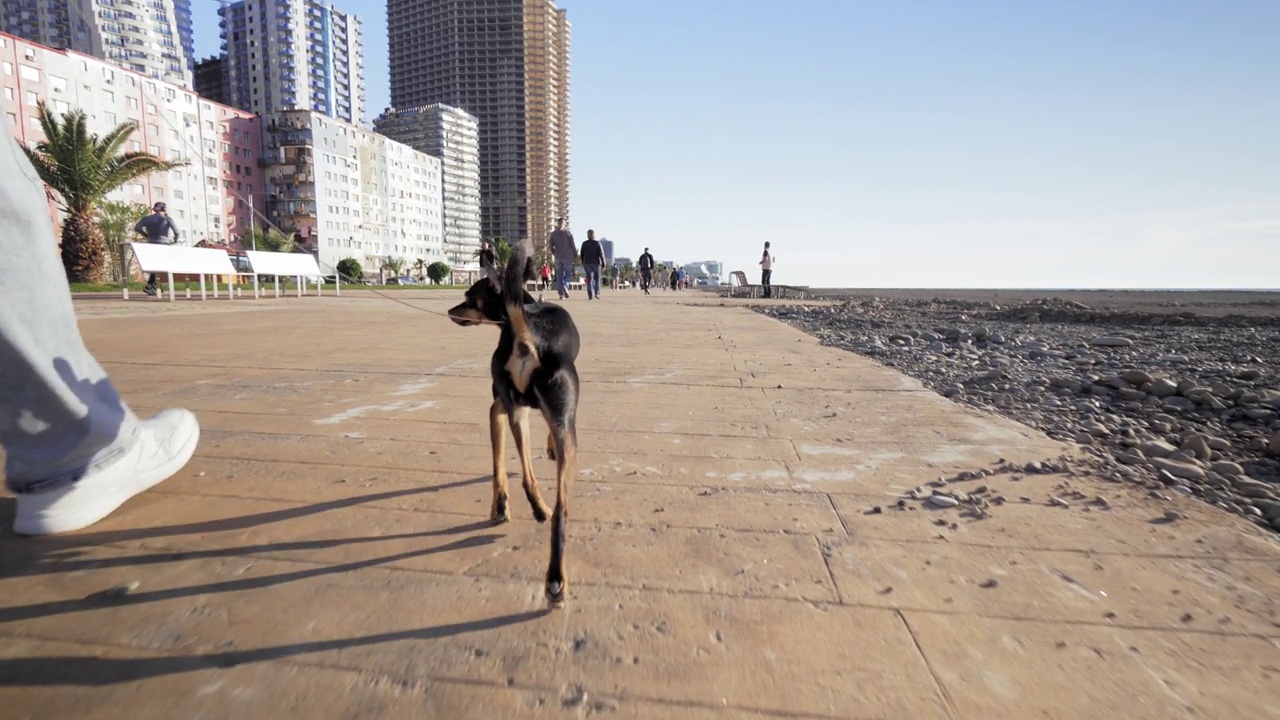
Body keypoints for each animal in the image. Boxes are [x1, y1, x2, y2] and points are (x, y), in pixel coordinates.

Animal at [442, 238, 578, 602]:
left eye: (469, 298)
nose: (450, 311)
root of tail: (525, 335)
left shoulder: (501, 409)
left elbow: (498, 467)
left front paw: (500, 507)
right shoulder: (521, 412)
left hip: (519, 414)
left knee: (531, 482)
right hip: (559, 428)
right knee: (559, 506)